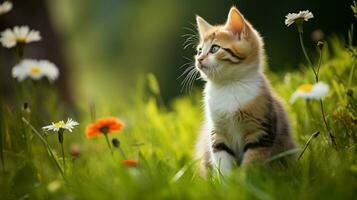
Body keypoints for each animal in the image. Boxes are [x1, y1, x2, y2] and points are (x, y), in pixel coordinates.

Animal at [193, 6, 296, 176]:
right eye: (199, 50)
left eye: (214, 48)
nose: (199, 59)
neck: (229, 85)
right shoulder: (217, 134)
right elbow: (222, 161)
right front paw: (228, 182)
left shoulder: (260, 131)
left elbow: (252, 161)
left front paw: (246, 180)